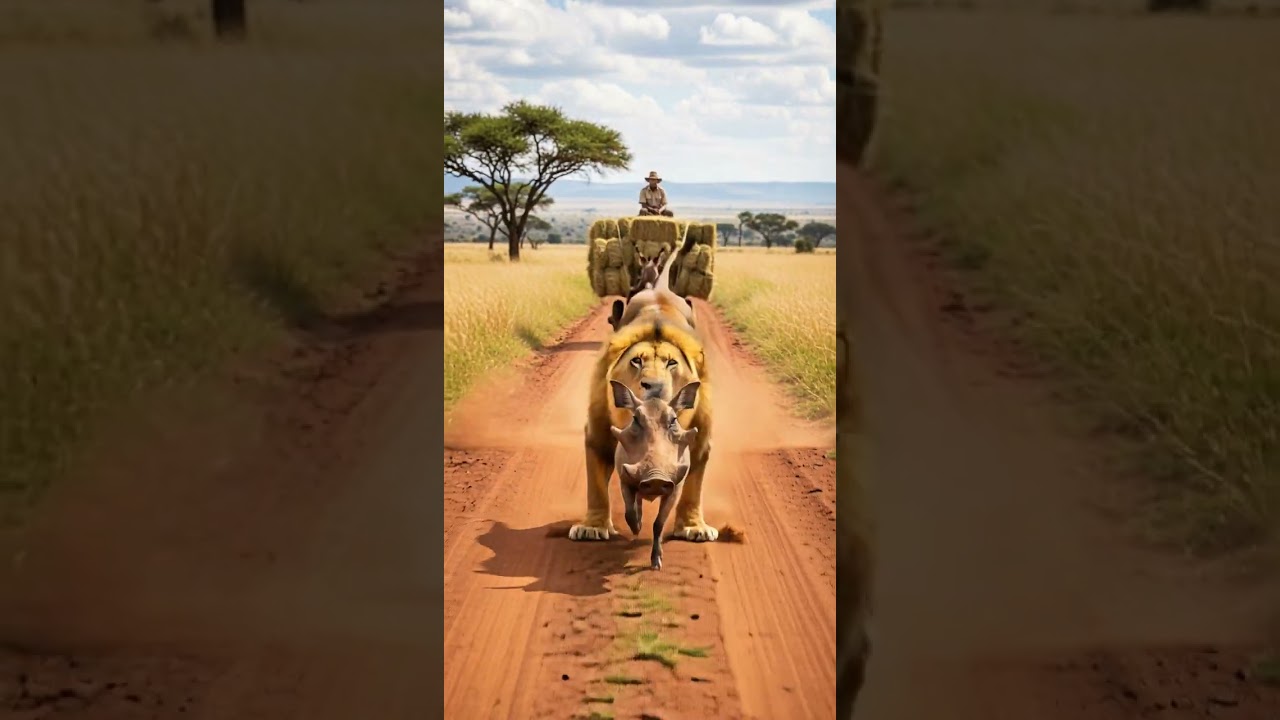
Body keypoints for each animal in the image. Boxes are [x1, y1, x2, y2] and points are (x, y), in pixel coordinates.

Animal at [569, 287, 717, 544]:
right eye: (636, 361)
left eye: (671, 363)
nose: (655, 386)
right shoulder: (598, 436)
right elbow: (596, 487)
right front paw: (592, 527)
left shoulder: (699, 440)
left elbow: (693, 488)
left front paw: (694, 527)